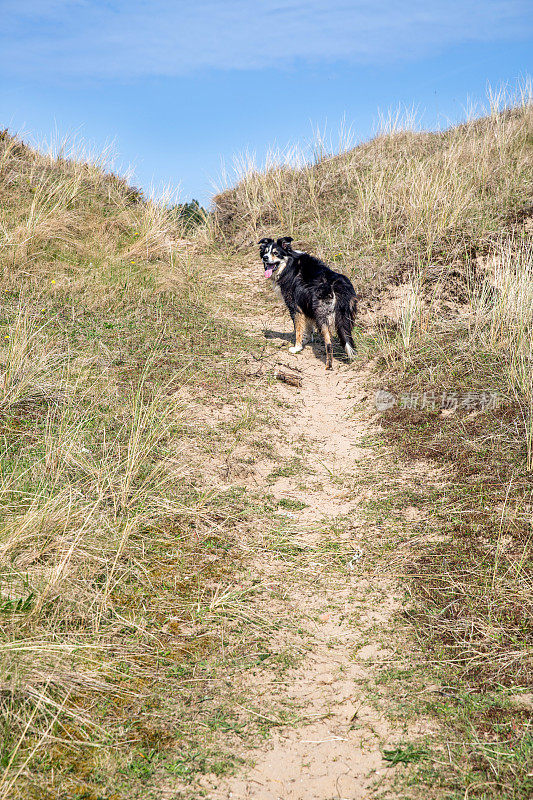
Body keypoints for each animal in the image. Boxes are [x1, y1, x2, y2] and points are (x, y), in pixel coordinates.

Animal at [258, 233, 358, 368]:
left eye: (275, 253)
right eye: (265, 251)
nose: (265, 258)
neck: (288, 264)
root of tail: (338, 285)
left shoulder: (295, 307)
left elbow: (298, 330)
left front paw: (297, 347)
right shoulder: (306, 305)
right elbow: (308, 327)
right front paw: (305, 341)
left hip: (322, 315)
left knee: (329, 343)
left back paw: (328, 365)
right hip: (346, 317)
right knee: (347, 338)